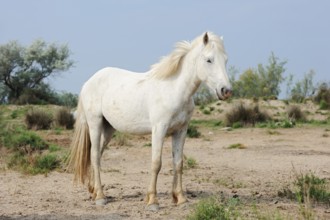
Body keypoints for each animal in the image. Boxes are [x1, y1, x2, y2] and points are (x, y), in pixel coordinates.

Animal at [67, 31, 232, 211]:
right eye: (209, 60)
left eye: (225, 60)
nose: (226, 90)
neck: (174, 89)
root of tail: (88, 82)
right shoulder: (159, 129)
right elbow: (156, 163)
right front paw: (153, 201)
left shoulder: (181, 131)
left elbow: (178, 163)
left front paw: (180, 198)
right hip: (95, 124)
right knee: (95, 156)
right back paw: (101, 198)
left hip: (108, 129)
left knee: (97, 155)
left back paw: (94, 191)